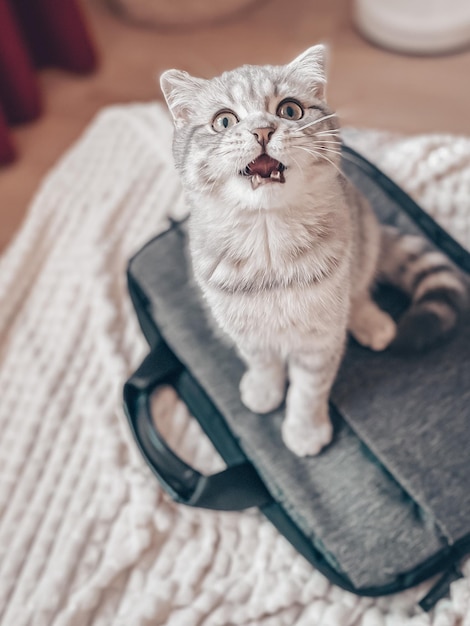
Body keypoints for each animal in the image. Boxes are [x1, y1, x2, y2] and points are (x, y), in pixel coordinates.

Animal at [161, 44, 466, 454]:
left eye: (290, 110)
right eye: (223, 121)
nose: (262, 129)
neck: (268, 241)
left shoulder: (320, 339)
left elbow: (308, 390)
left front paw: (305, 430)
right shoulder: (246, 332)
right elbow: (263, 363)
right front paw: (264, 389)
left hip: (361, 237)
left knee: (360, 287)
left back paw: (371, 321)